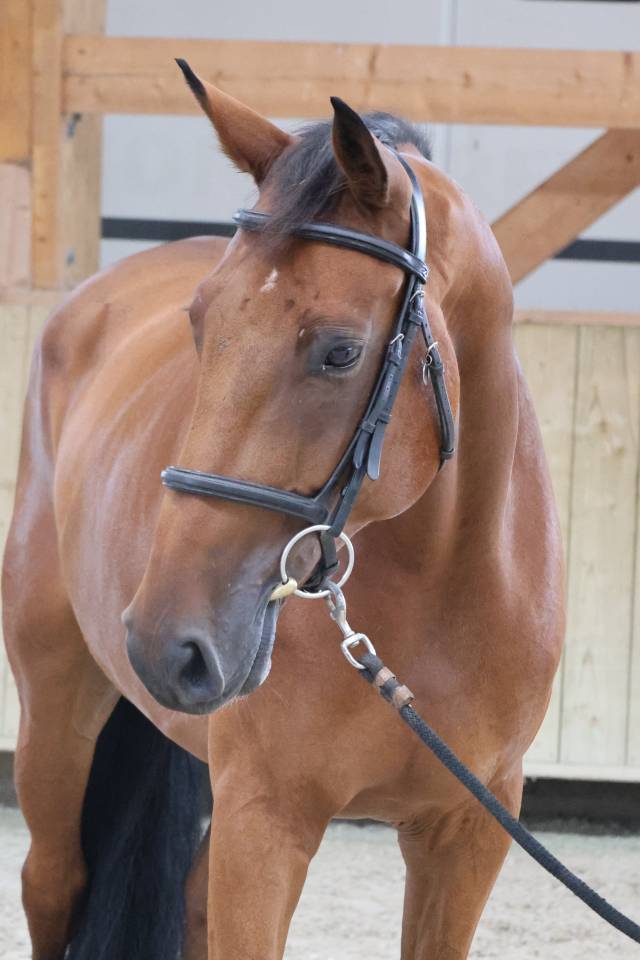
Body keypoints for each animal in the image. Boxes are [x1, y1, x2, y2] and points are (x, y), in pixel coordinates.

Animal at [2, 60, 564, 960]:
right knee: (53, 882)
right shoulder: (265, 825)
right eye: (198, 324)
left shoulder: (465, 835)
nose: (164, 644)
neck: (443, 590)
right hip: (57, 706)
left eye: (340, 351)